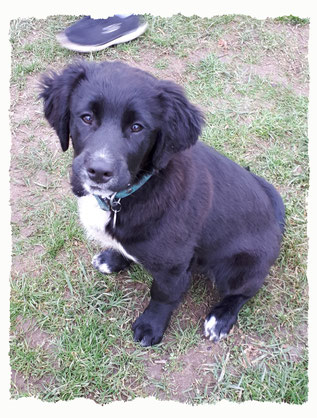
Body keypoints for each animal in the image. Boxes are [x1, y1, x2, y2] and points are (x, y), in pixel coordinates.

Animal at [39, 61, 284, 346]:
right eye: (86, 117)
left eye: (137, 127)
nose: (99, 172)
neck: (123, 196)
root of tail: (276, 220)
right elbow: (124, 249)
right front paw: (113, 259)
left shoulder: (173, 267)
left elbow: (162, 295)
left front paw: (150, 326)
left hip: (240, 268)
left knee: (243, 293)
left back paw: (221, 318)